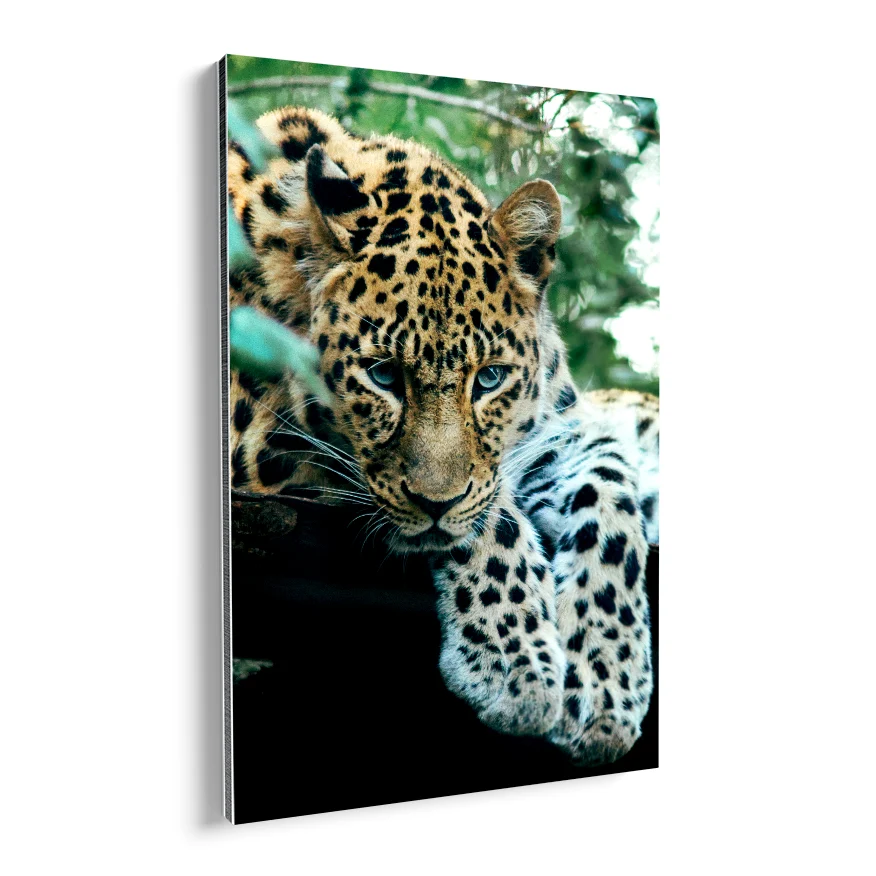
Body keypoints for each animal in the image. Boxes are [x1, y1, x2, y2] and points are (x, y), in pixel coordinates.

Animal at [227, 106, 659, 765]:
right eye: (383, 375)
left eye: (490, 378)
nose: (436, 503)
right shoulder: (255, 445)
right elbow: (491, 515)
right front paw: (517, 666)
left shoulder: (552, 433)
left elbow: (608, 485)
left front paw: (605, 678)